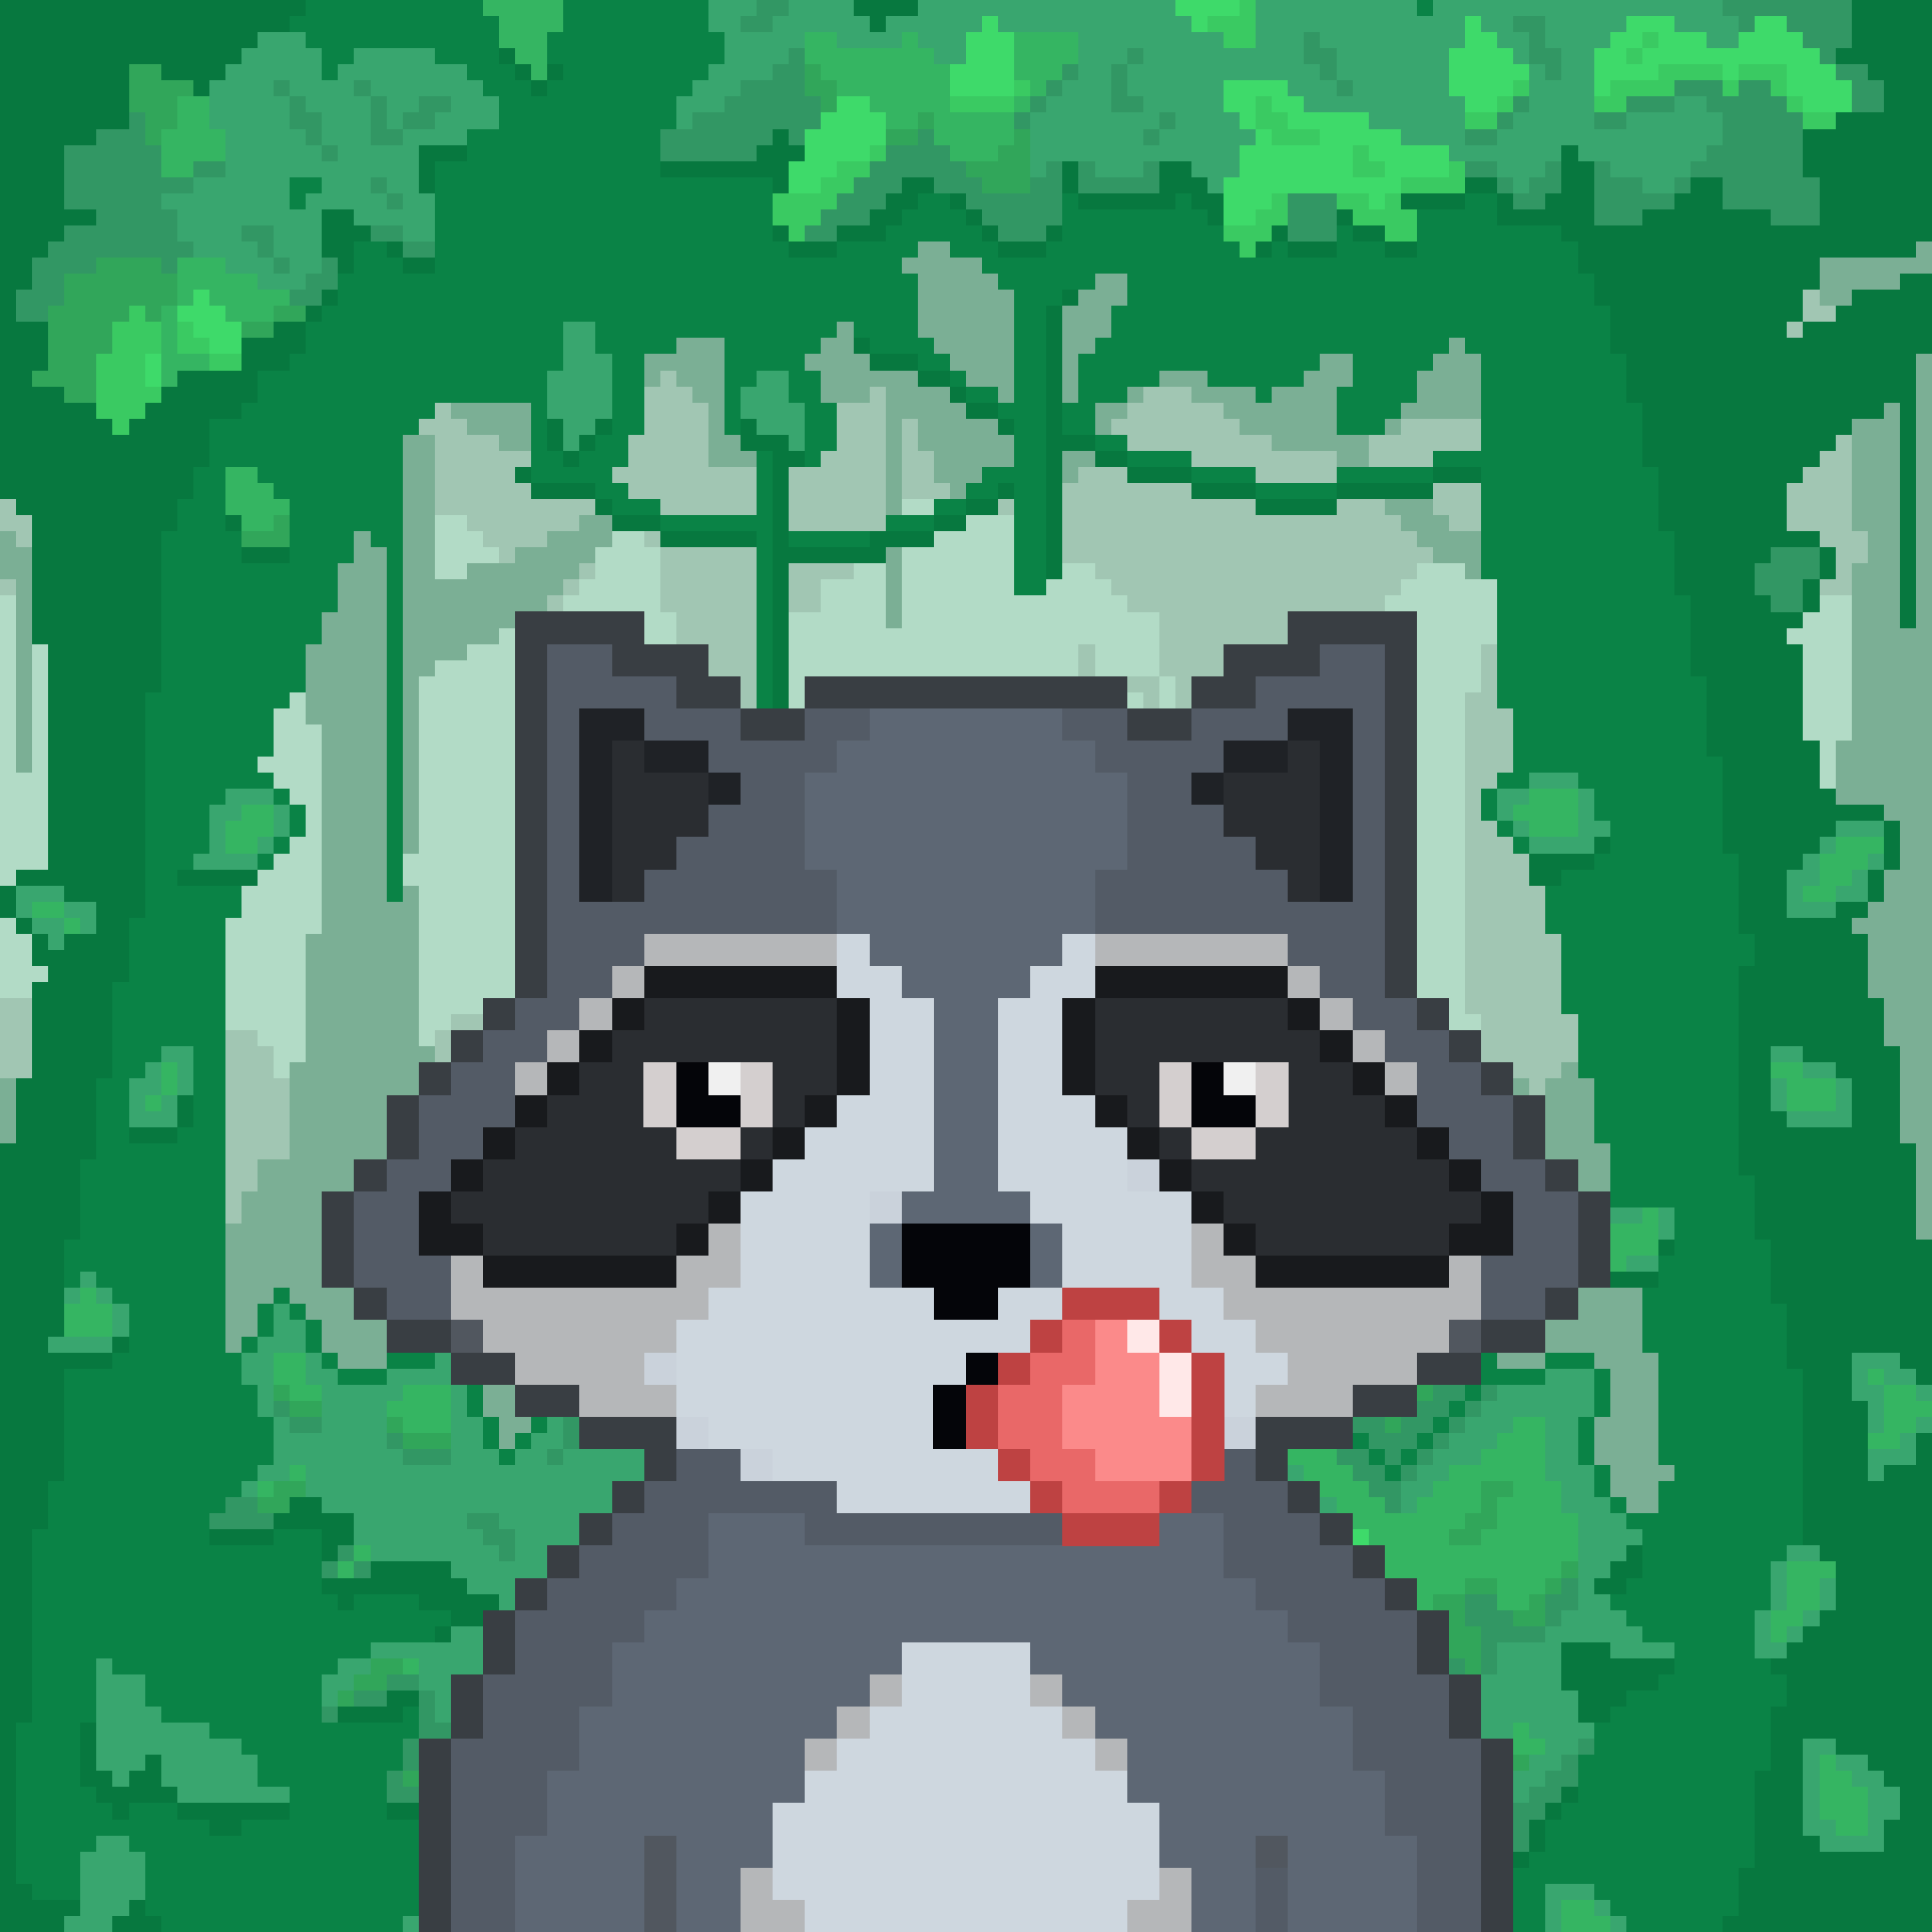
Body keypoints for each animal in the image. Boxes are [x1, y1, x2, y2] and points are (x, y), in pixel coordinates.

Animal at [327, 607, 1606, 1932]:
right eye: (712, 1093)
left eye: (1217, 1092)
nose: (966, 1246)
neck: (960, 1551)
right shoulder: (607, 1723)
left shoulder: (1325, 1724)